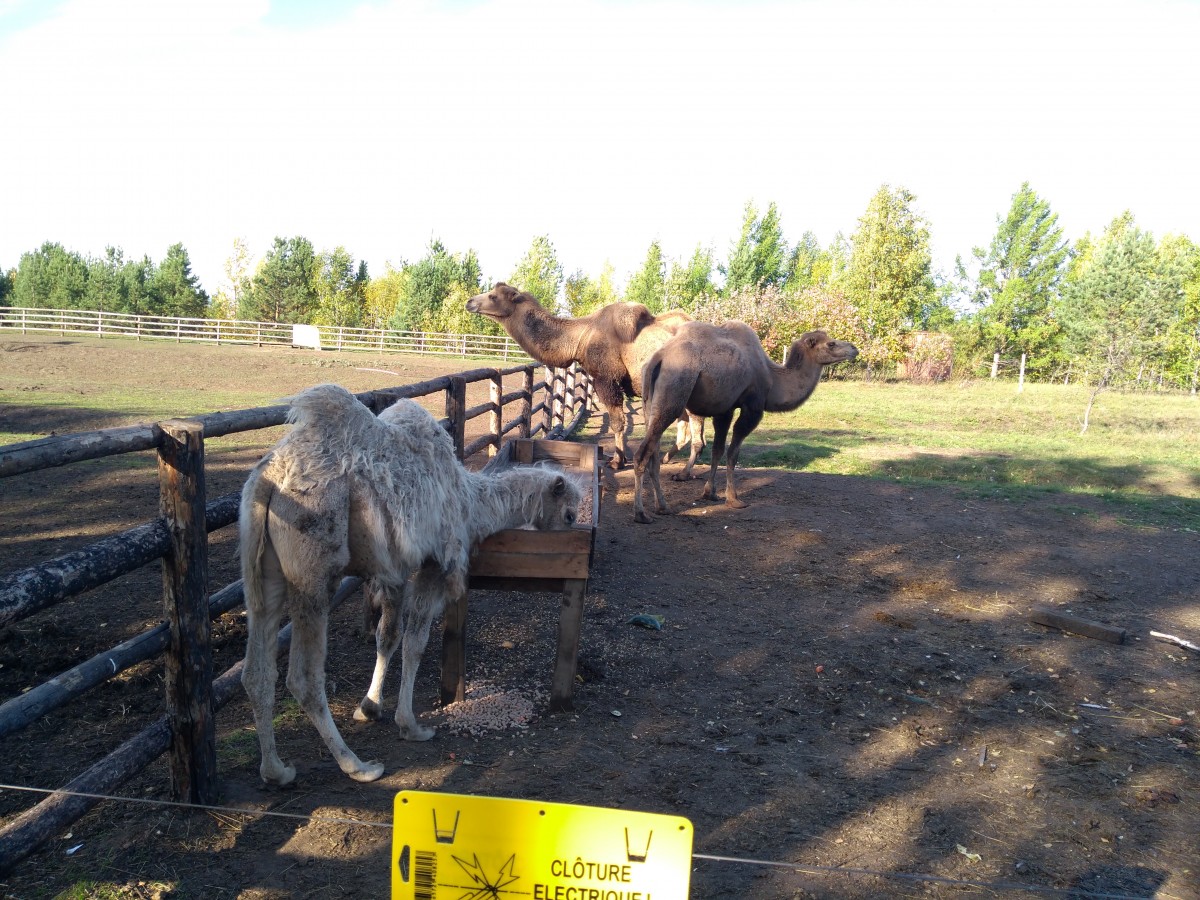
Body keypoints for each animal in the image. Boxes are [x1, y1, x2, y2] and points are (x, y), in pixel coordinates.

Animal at [237, 384, 580, 787]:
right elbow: (416, 641)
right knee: (303, 677)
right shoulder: (435, 563)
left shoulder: (395, 571)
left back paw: (275, 769)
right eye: (569, 513)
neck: (470, 499)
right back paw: (358, 766)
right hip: (314, 570)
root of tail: (269, 479)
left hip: (263, 574)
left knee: (256, 670)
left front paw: (369, 707)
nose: (577, 529)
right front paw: (411, 724)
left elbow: (387, 637)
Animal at [460, 285, 700, 475]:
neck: (580, 337)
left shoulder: (606, 379)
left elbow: (618, 421)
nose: (469, 302)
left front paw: (617, 461)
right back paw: (667, 459)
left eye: (493, 296)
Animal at [633, 321, 859, 520]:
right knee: (644, 452)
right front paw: (733, 499)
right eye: (831, 343)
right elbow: (733, 453)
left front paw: (710, 493)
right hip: (675, 390)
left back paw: (663, 506)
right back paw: (641, 514)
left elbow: (717, 450)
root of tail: (658, 358)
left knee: (654, 452)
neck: (773, 378)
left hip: (649, 402)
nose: (854, 349)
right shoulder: (753, 407)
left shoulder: (725, 410)